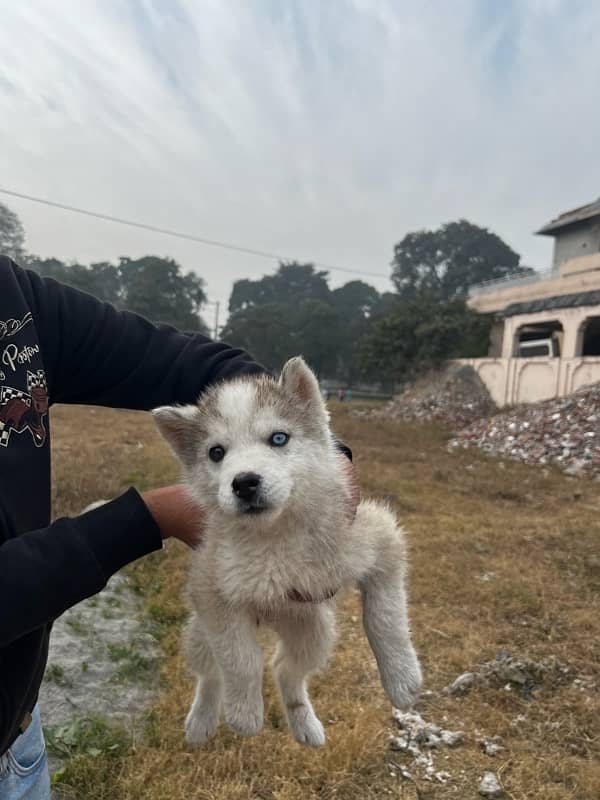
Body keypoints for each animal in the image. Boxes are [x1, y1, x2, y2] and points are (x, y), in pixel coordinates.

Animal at [152, 360, 420, 748]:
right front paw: (245, 713)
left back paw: (305, 724)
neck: (278, 536)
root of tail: (271, 620)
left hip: (314, 631)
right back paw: (202, 720)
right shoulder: (210, 585)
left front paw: (402, 677)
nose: (244, 482)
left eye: (278, 438)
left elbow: (386, 617)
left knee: (286, 670)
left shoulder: (379, 539)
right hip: (202, 632)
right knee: (211, 673)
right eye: (216, 453)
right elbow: (240, 658)